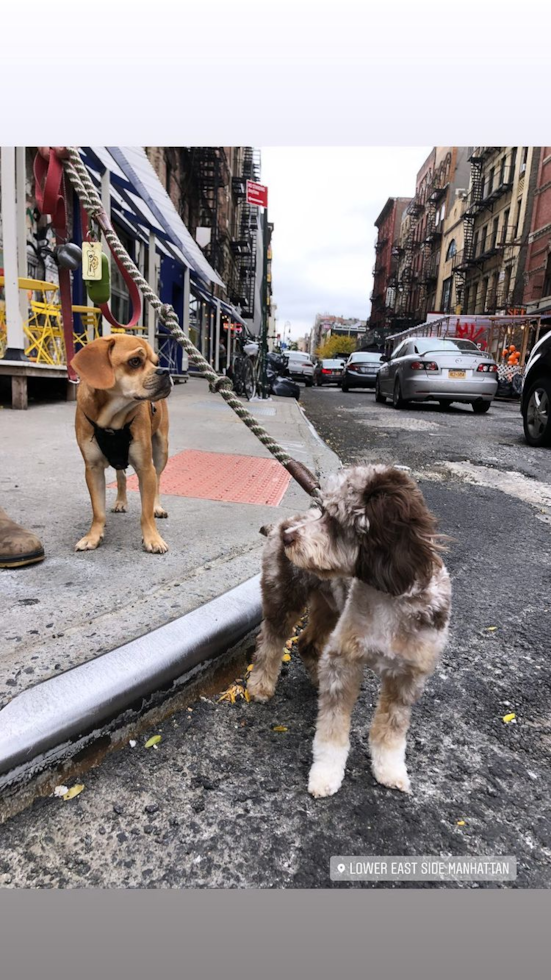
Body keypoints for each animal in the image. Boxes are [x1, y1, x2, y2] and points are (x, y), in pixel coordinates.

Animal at [71, 334, 171, 552]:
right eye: (135, 361)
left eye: (156, 362)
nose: (166, 370)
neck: (112, 420)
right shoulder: (93, 469)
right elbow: (98, 510)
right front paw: (93, 536)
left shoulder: (145, 468)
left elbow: (146, 513)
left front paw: (152, 538)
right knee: (121, 476)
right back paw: (120, 501)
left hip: (161, 451)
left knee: (158, 479)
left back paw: (157, 506)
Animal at [248, 466, 450, 796]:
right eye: (322, 510)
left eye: (333, 519)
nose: (289, 537)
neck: (388, 598)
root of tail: (282, 521)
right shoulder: (344, 660)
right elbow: (331, 730)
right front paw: (325, 775)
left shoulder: (409, 675)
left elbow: (392, 728)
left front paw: (390, 769)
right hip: (284, 595)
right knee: (272, 639)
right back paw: (261, 684)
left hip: (330, 607)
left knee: (308, 643)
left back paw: (316, 678)